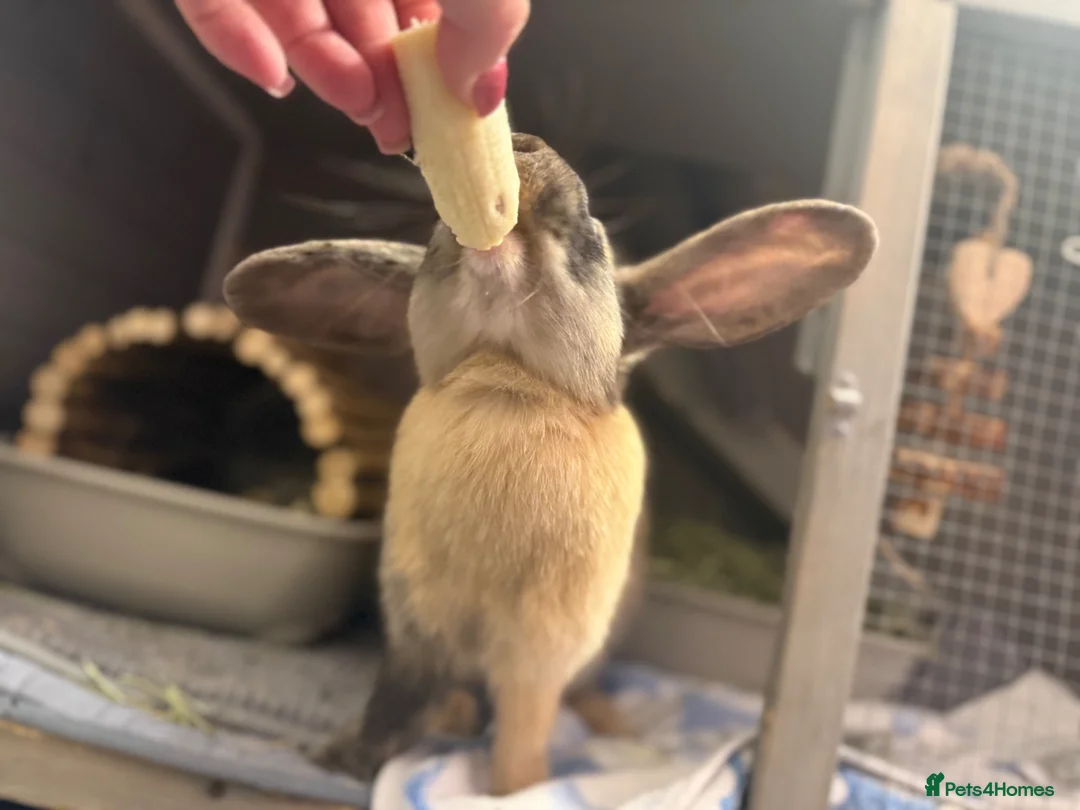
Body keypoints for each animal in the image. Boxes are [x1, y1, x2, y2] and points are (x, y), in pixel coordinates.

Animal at [222, 132, 878, 795]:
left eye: (594, 233)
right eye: (434, 237)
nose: (522, 145)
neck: (506, 383)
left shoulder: (541, 652)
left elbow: (522, 730)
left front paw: (515, 789)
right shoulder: (417, 629)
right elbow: (394, 701)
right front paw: (338, 760)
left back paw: (611, 724)